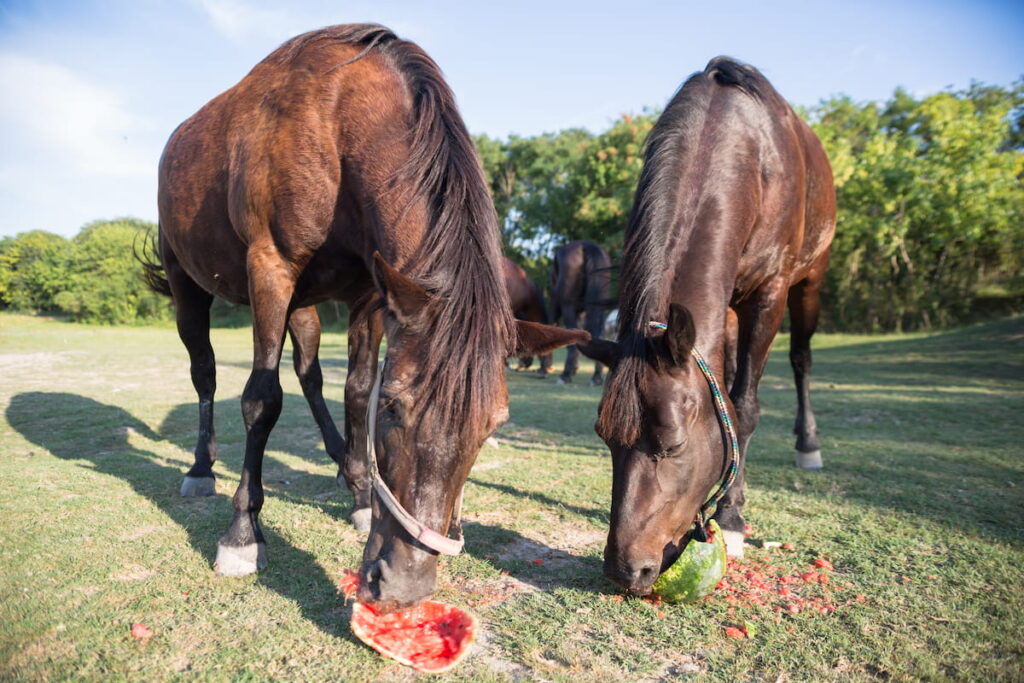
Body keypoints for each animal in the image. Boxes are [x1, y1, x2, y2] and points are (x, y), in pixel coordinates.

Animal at [148, 25, 589, 614]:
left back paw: (343, 465)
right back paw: (201, 469)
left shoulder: (371, 294)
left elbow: (354, 388)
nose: (403, 585)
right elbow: (262, 399)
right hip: (188, 286)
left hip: (305, 305)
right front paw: (242, 533)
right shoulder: (270, 268)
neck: (337, 122)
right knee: (206, 373)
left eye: (494, 424)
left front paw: (359, 490)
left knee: (310, 373)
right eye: (395, 409)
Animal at [581, 57, 835, 593]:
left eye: (673, 445)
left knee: (800, 358)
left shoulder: (769, 293)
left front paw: (733, 520)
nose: (624, 569)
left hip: (810, 281)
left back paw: (808, 444)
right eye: (604, 438)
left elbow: (746, 408)